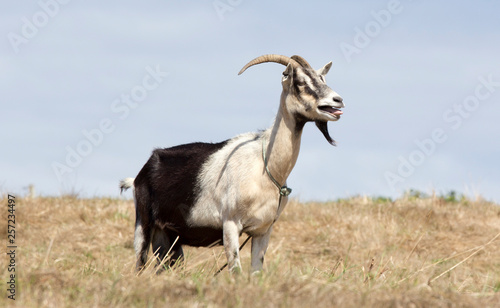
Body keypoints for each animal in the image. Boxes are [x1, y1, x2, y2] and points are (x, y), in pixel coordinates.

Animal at [119, 54, 344, 274]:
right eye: (300, 82)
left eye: (322, 79)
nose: (338, 100)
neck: (265, 167)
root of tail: (139, 175)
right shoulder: (230, 224)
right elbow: (235, 270)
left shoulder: (263, 230)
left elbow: (256, 272)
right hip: (144, 224)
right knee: (139, 264)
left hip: (169, 238)